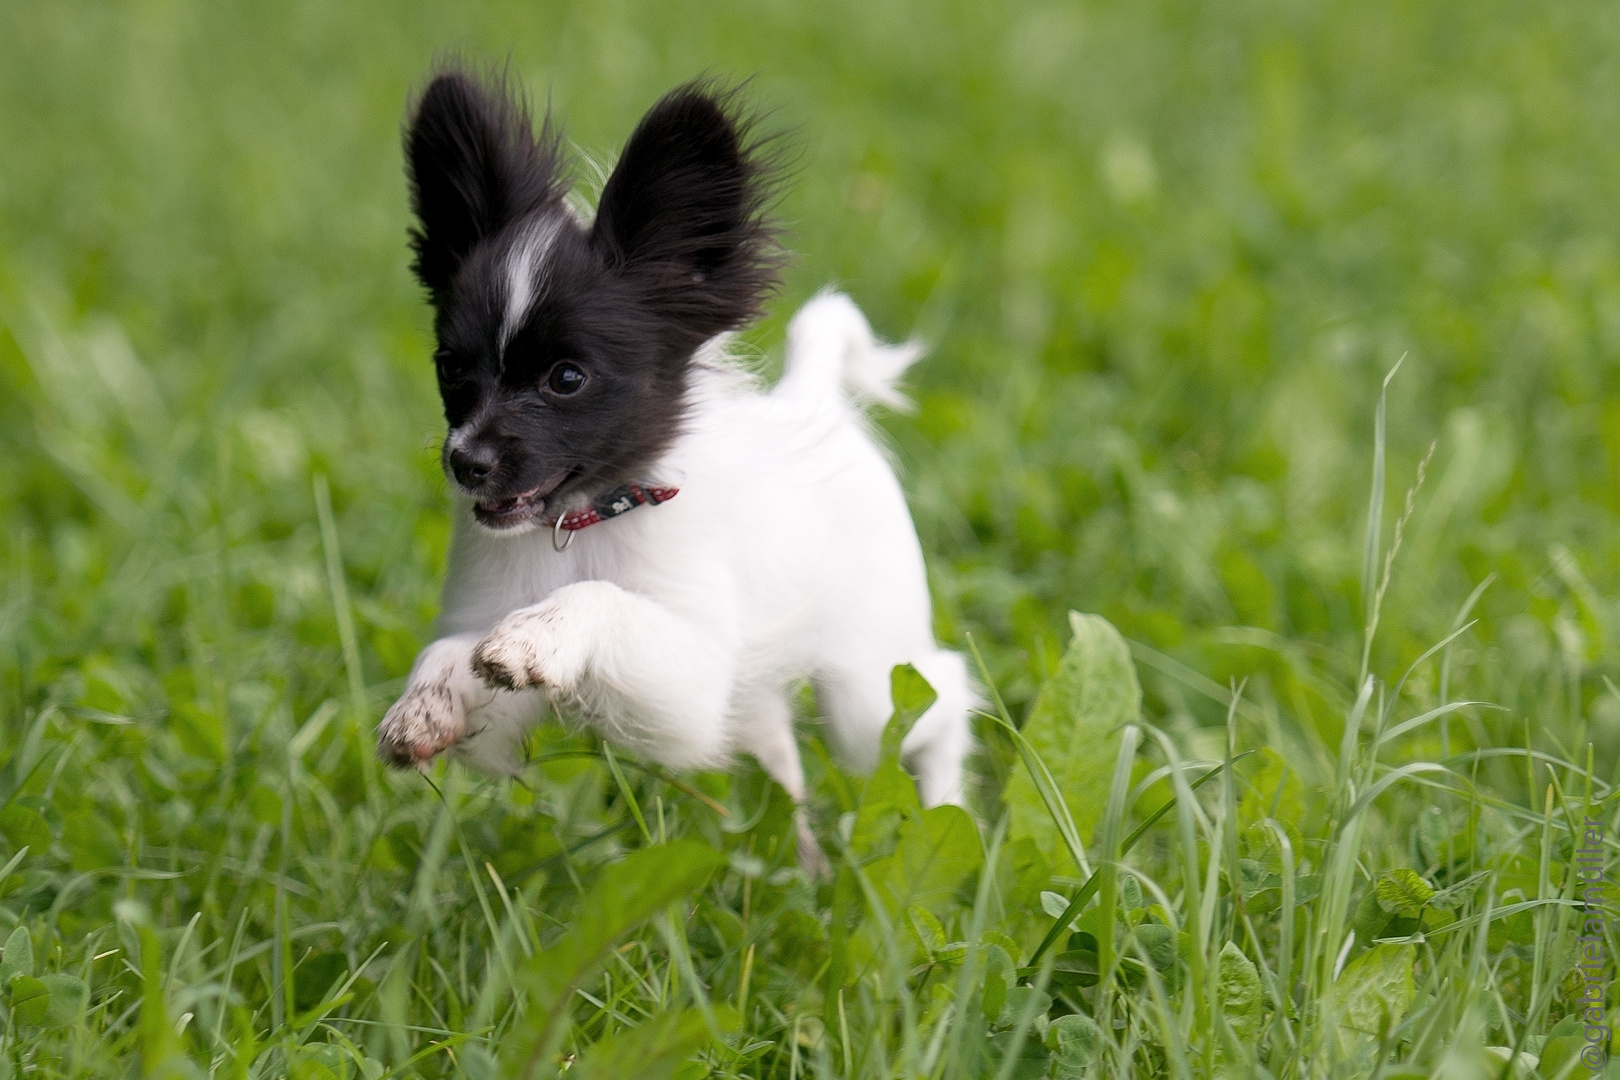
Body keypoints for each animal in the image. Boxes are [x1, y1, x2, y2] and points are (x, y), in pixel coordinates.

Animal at [375, 67, 972, 861]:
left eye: (567, 379)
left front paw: (539, 632)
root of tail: (816, 400)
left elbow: (600, 602)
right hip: (768, 701)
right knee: (780, 753)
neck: (584, 525)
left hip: (864, 688)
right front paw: (423, 706)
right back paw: (802, 859)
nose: (464, 460)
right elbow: (452, 653)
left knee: (939, 697)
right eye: (450, 367)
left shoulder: (688, 685)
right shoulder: (498, 704)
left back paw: (950, 814)